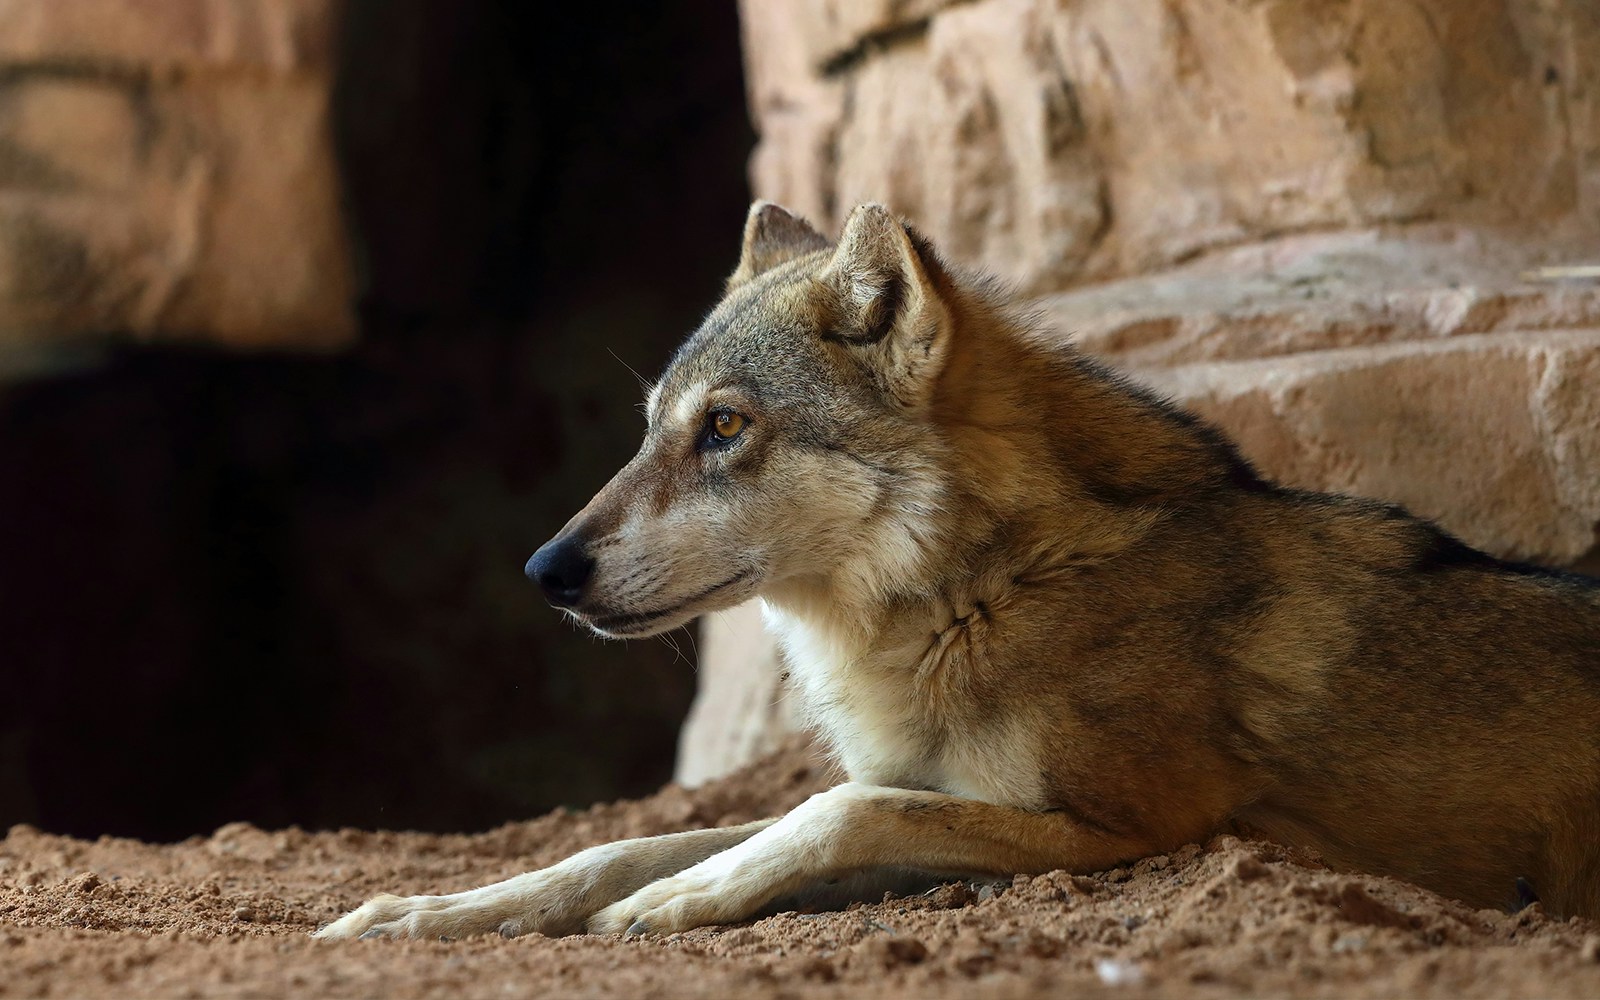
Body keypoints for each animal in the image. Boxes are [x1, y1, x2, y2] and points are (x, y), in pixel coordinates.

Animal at [317, 201, 1600, 941]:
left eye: (723, 428)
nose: (546, 567)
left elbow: (833, 810)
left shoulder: (1141, 831)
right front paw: (419, 910)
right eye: (648, 433)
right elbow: (614, 844)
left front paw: (677, 902)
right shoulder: (941, 790)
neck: (977, 597)